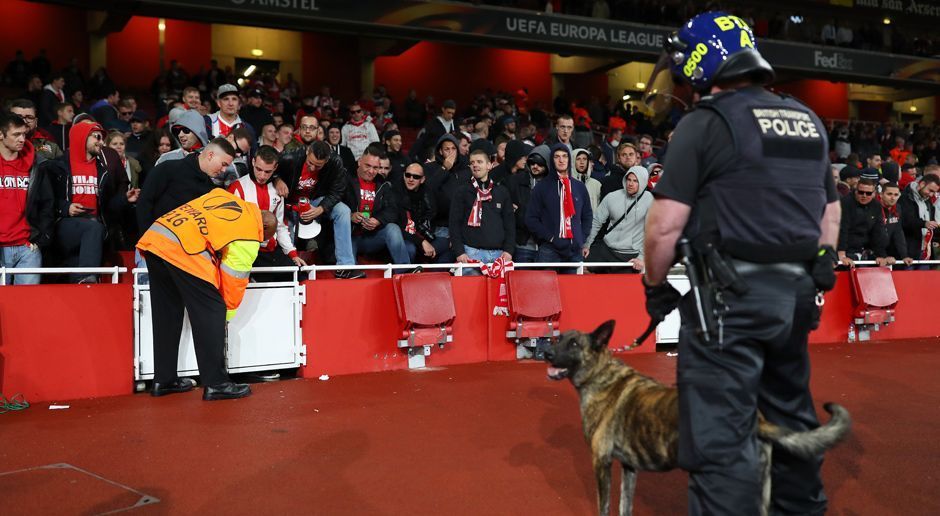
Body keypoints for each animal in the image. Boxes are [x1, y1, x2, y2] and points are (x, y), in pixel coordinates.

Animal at [544, 320, 852, 512]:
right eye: (558, 338)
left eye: (574, 344)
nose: (545, 352)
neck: (600, 374)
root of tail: (757, 421)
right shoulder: (629, 468)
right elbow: (624, 506)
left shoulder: (601, 464)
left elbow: (604, 506)